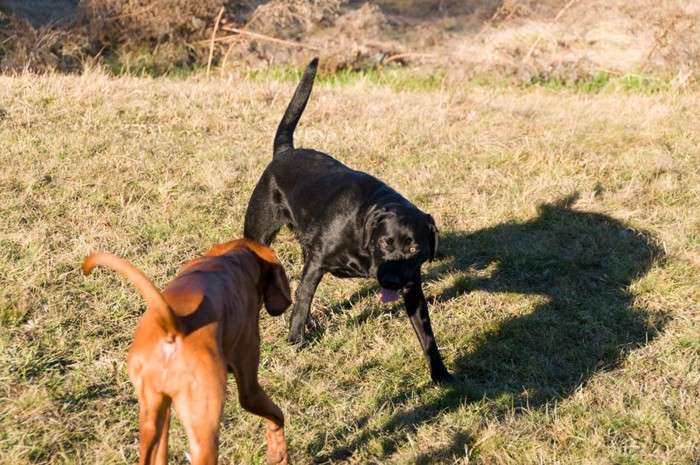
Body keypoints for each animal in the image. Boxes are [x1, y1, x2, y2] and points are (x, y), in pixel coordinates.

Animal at [84, 239, 292, 464]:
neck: (234, 258)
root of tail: (174, 327)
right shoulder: (250, 389)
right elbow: (277, 414)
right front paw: (278, 452)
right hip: (203, 429)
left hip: (153, 413)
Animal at [245, 58, 454, 382]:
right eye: (385, 242)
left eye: (413, 248)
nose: (391, 281)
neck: (363, 227)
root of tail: (285, 152)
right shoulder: (318, 262)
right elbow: (302, 301)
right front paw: (295, 340)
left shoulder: (413, 287)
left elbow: (427, 334)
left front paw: (440, 373)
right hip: (258, 231)